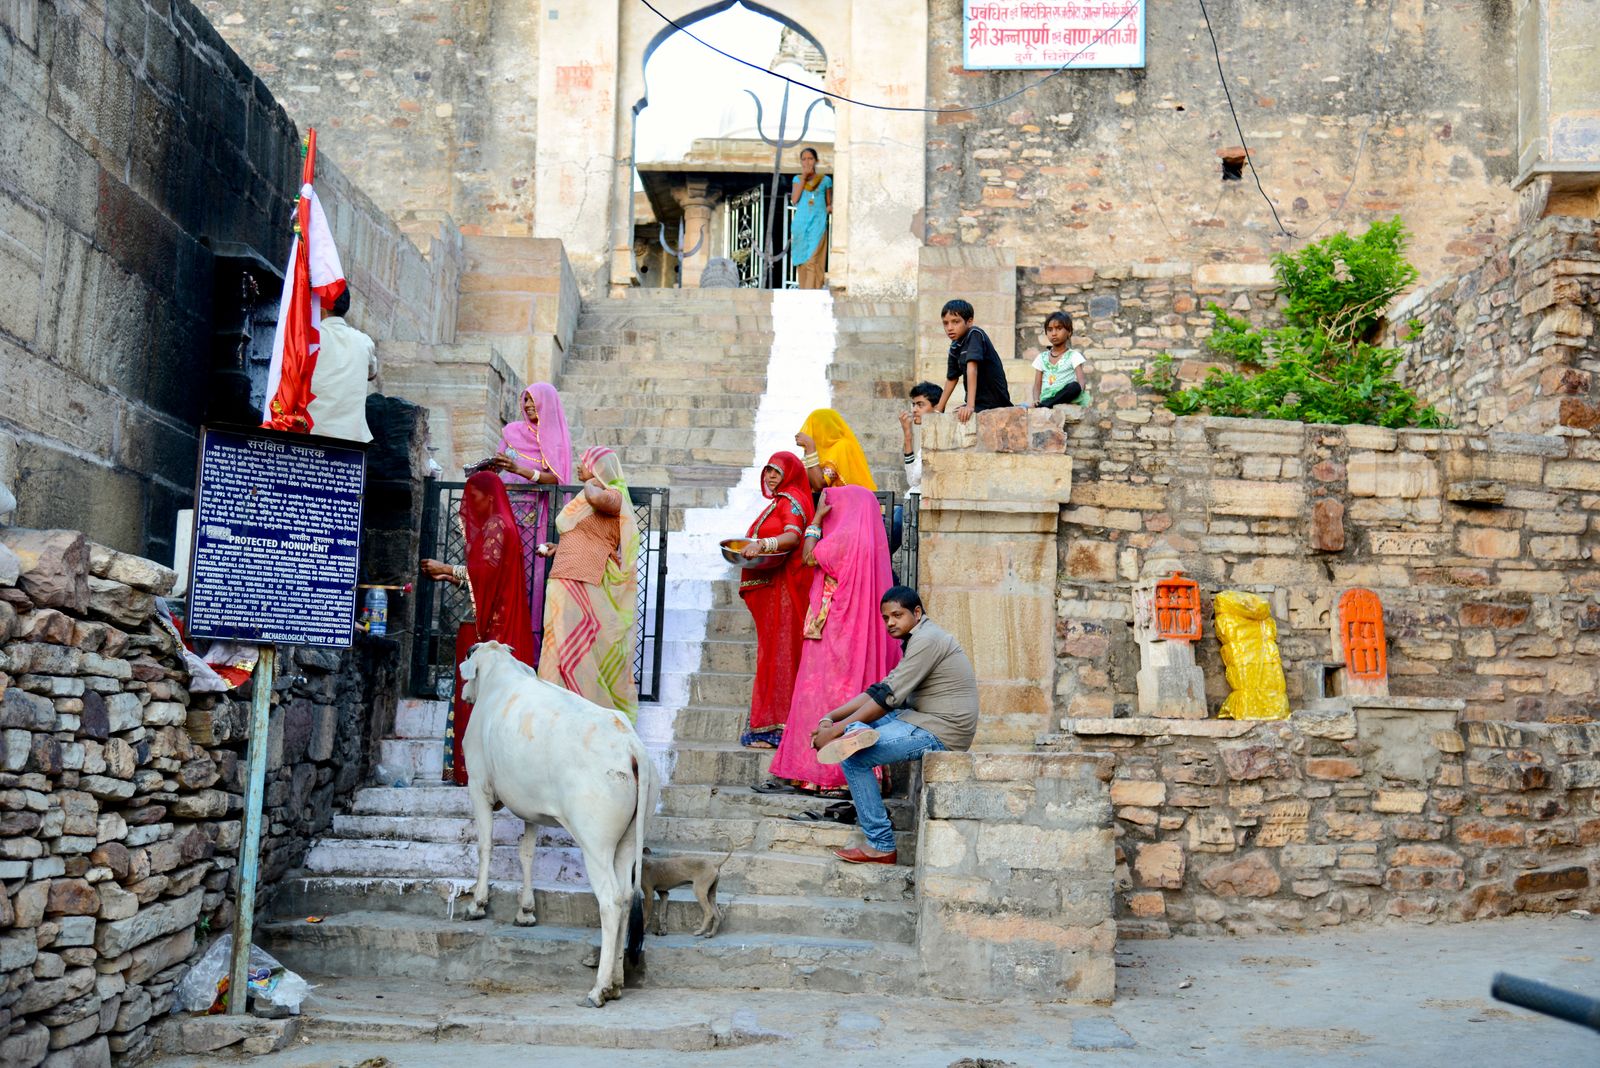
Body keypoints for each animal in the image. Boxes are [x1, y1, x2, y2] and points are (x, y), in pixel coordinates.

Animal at [456, 640, 653, 1008]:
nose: (464, 694)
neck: (498, 677)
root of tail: (631, 745)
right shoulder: (530, 808)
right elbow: (527, 854)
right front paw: (526, 912)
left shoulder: (477, 785)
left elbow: (485, 845)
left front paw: (477, 904)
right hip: (626, 842)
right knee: (624, 896)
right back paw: (616, 982)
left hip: (595, 844)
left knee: (610, 900)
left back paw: (599, 988)